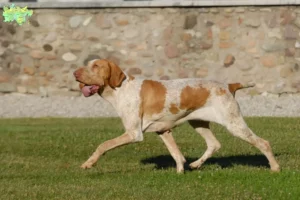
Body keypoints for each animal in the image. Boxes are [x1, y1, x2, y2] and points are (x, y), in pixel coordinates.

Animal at [74, 58, 280, 173]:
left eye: (96, 66)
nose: (75, 73)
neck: (121, 89)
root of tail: (229, 85)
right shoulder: (163, 131)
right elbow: (177, 155)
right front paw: (180, 172)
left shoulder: (133, 134)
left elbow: (103, 145)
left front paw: (88, 163)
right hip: (198, 123)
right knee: (214, 144)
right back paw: (196, 164)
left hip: (234, 125)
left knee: (263, 143)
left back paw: (275, 168)